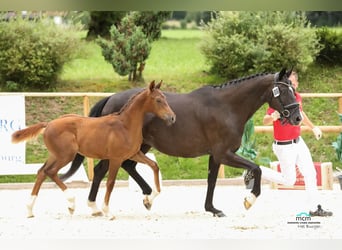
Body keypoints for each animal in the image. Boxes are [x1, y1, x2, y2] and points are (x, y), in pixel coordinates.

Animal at [11, 80, 175, 219]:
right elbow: (110, 183)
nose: (172, 118)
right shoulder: (116, 158)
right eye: (158, 100)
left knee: (41, 172)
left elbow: (154, 165)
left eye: (165, 98)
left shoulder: (134, 154)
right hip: (66, 155)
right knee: (50, 172)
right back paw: (71, 203)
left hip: (55, 155)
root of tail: (48, 124)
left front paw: (149, 200)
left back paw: (30, 210)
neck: (125, 125)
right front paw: (108, 212)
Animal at [62, 68, 302, 217]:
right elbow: (256, 169)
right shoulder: (224, 153)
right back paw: (96, 206)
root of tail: (110, 98)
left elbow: (212, 181)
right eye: (283, 90)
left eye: (293, 89)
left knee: (127, 166)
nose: (297, 117)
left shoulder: (215, 156)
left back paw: (147, 197)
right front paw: (249, 200)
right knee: (102, 170)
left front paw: (212, 209)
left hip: (141, 146)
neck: (226, 107)